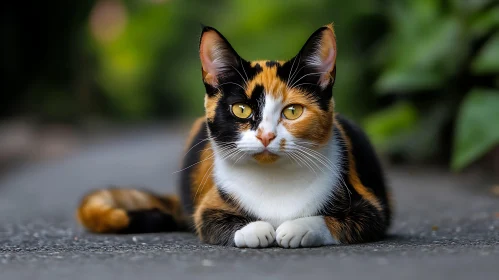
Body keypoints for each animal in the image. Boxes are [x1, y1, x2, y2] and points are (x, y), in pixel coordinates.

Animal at [78, 24, 392, 247]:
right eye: (241, 109)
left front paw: (296, 229)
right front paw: (257, 230)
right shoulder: (207, 207)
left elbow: (337, 222)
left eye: (292, 111)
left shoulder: (371, 207)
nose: (266, 136)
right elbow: (215, 223)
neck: (273, 182)